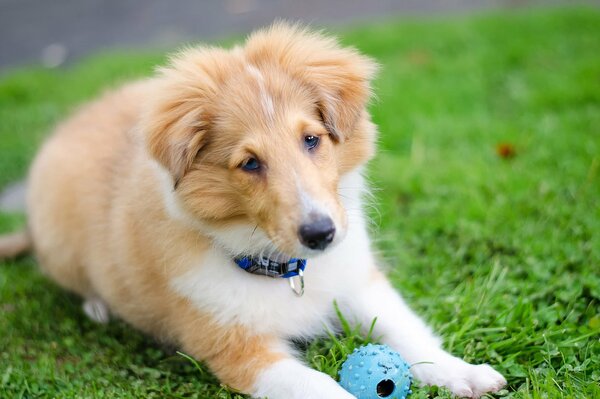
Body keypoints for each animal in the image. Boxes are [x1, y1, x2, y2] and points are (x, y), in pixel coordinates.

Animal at [0, 23, 506, 398]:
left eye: (311, 139)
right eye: (249, 163)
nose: (321, 234)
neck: (287, 270)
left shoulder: (360, 284)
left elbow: (409, 330)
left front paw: (464, 373)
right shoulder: (239, 349)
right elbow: (322, 387)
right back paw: (97, 305)